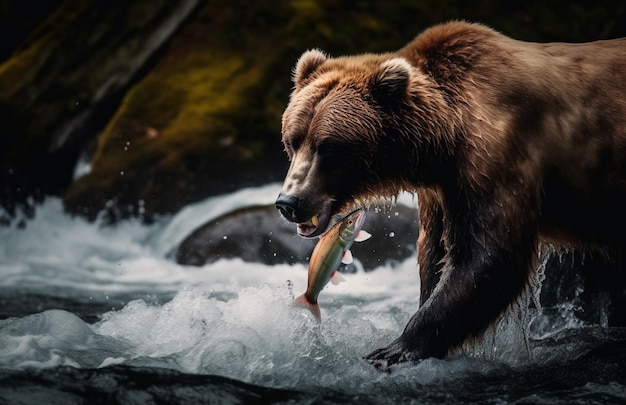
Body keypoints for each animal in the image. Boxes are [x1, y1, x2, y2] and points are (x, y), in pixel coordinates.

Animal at [274, 22, 624, 370]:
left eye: (328, 146)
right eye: (292, 141)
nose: (288, 202)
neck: (443, 139)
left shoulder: (495, 154)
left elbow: (489, 255)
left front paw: (393, 349)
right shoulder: (442, 190)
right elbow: (437, 253)